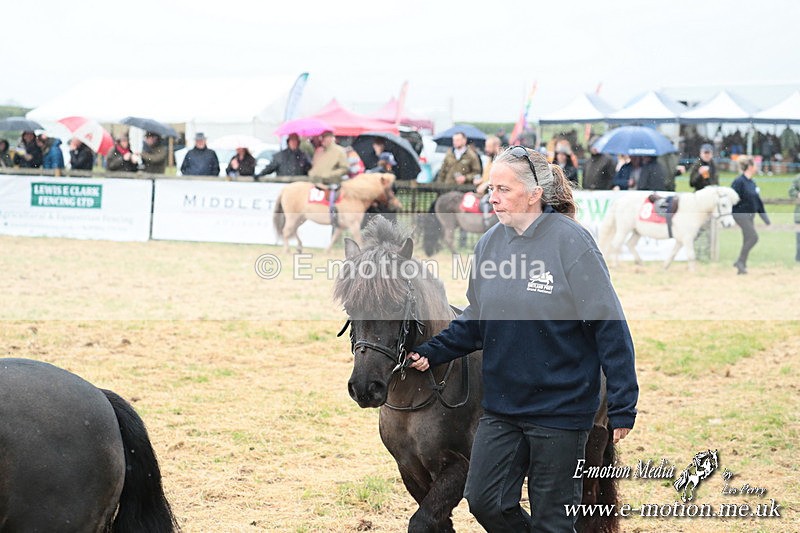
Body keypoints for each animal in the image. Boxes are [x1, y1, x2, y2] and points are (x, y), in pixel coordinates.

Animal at [272, 173, 402, 253]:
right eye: (390, 189)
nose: (397, 205)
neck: (354, 196)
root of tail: (285, 188)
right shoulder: (353, 224)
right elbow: (358, 238)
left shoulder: (342, 226)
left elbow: (335, 237)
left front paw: (327, 251)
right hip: (293, 216)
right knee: (287, 231)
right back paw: (287, 250)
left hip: (301, 218)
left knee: (293, 230)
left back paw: (299, 247)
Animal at [334, 217, 619, 533]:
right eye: (349, 308)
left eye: (395, 306)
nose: (365, 387)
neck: (420, 397)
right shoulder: (411, 470)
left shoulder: (462, 467)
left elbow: (423, 521)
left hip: (590, 448)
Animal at [598, 186, 740, 271]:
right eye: (723, 204)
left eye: (731, 205)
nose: (729, 224)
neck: (694, 208)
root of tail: (619, 201)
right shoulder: (687, 238)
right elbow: (691, 255)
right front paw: (693, 270)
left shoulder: (680, 240)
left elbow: (673, 254)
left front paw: (665, 266)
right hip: (623, 229)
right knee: (616, 244)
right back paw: (616, 265)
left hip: (636, 231)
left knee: (630, 244)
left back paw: (640, 262)